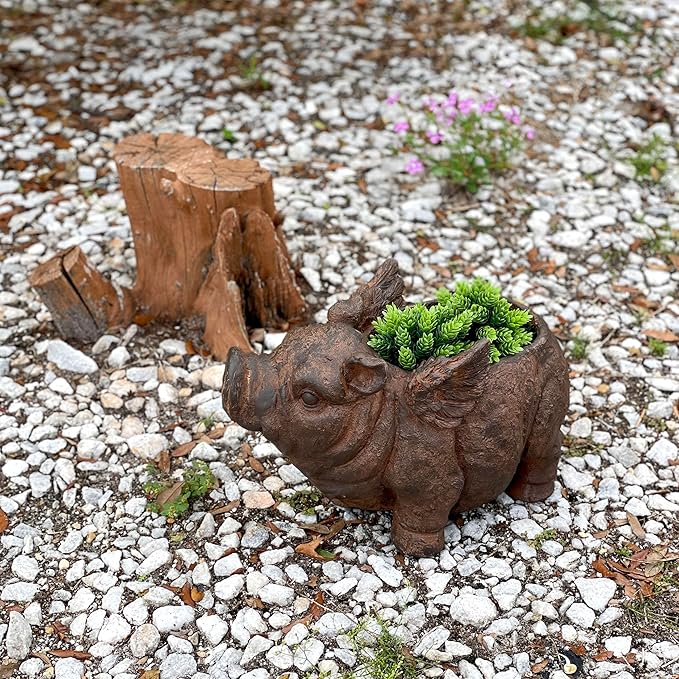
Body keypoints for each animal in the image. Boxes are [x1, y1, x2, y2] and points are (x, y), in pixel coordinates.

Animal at [223, 259, 569, 556]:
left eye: (310, 398)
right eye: (279, 350)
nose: (234, 365)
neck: (380, 419)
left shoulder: (431, 482)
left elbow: (424, 511)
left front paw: (415, 552)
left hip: (551, 404)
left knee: (545, 451)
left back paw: (532, 496)